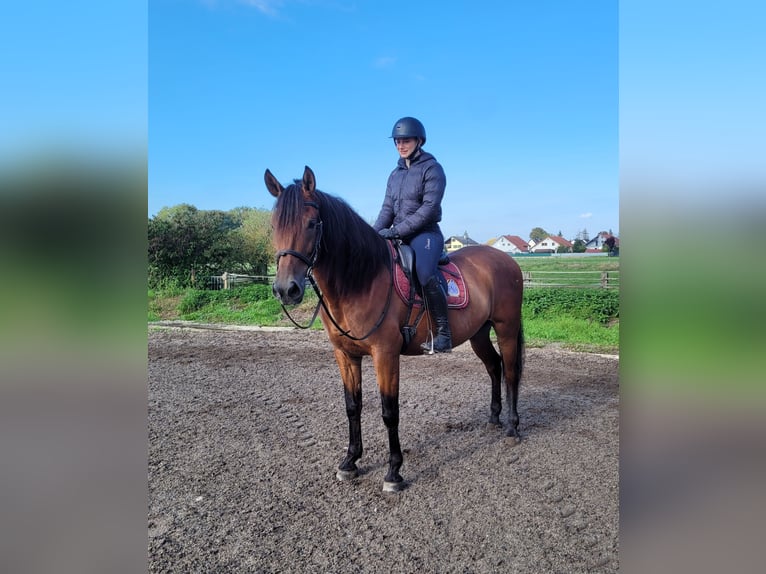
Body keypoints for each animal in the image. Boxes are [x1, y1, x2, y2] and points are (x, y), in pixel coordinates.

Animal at [265, 166, 524, 492]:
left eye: (312, 223)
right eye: (274, 226)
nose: (286, 289)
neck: (362, 280)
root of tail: (506, 260)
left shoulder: (385, 354)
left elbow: (390, 411)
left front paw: (393, 472)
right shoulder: (345, 355)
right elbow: (352, 406)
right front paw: (350, 462)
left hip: (506, 328)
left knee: (511, 372)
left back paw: (512, 428)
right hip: (478, 333)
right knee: (494, 366)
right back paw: (493, 419)